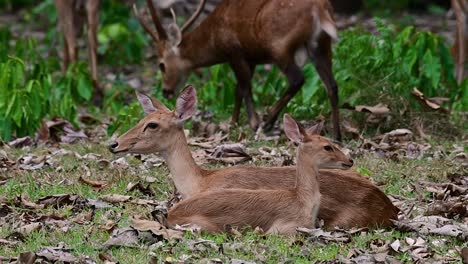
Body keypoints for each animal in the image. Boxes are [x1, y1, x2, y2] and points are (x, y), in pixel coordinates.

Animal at [133, 0, 342, 140]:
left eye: (161, 64)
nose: (166, 91)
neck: (214, 39)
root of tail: (320, 9)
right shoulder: (251, 57)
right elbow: (240, 89)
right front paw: (234, 123)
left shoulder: (235, 51)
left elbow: (242, 87)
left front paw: (249, 123)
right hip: (322, 44)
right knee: (332, 85)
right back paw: (337, 136)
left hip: (279, 46)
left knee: (297, 79)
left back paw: (268, 121)